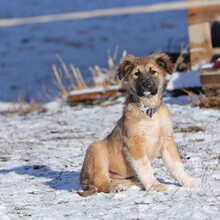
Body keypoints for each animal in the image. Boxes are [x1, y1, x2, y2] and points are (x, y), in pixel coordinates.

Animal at [77, 52, 201, 196]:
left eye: (153, 71)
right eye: (136, 74)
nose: (145, 84)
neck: (150, 110)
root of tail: (83, 182)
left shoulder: (166, 139)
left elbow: (176, 164)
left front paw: (188, 181)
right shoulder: (135, 143)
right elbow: (145, 168)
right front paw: (155, 186)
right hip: (96, 148)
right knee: (100, 183)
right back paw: (115, 187)